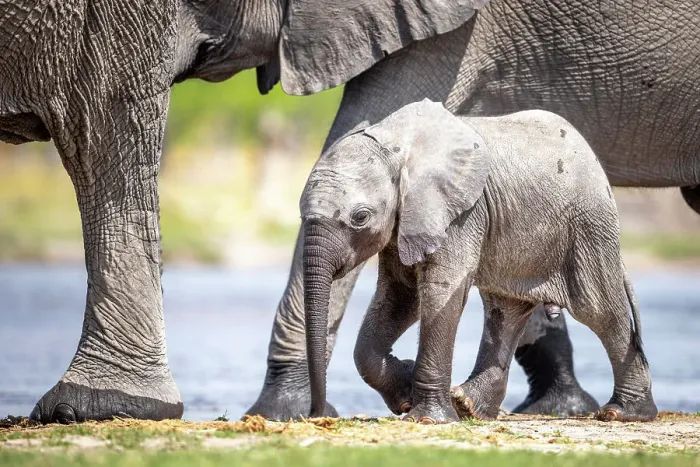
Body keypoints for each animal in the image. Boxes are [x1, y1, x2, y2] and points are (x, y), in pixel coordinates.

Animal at [298, 100, 657, 424]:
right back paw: (468, 407)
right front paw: (406, 392)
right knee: (505, 311)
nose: (316, 415)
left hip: (588, 227)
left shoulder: (460, 214)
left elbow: (440, 290)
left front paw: (427, 419)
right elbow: (401, 296)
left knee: (601, 310)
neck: (393, 145)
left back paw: (625, 413)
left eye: (360, 217)